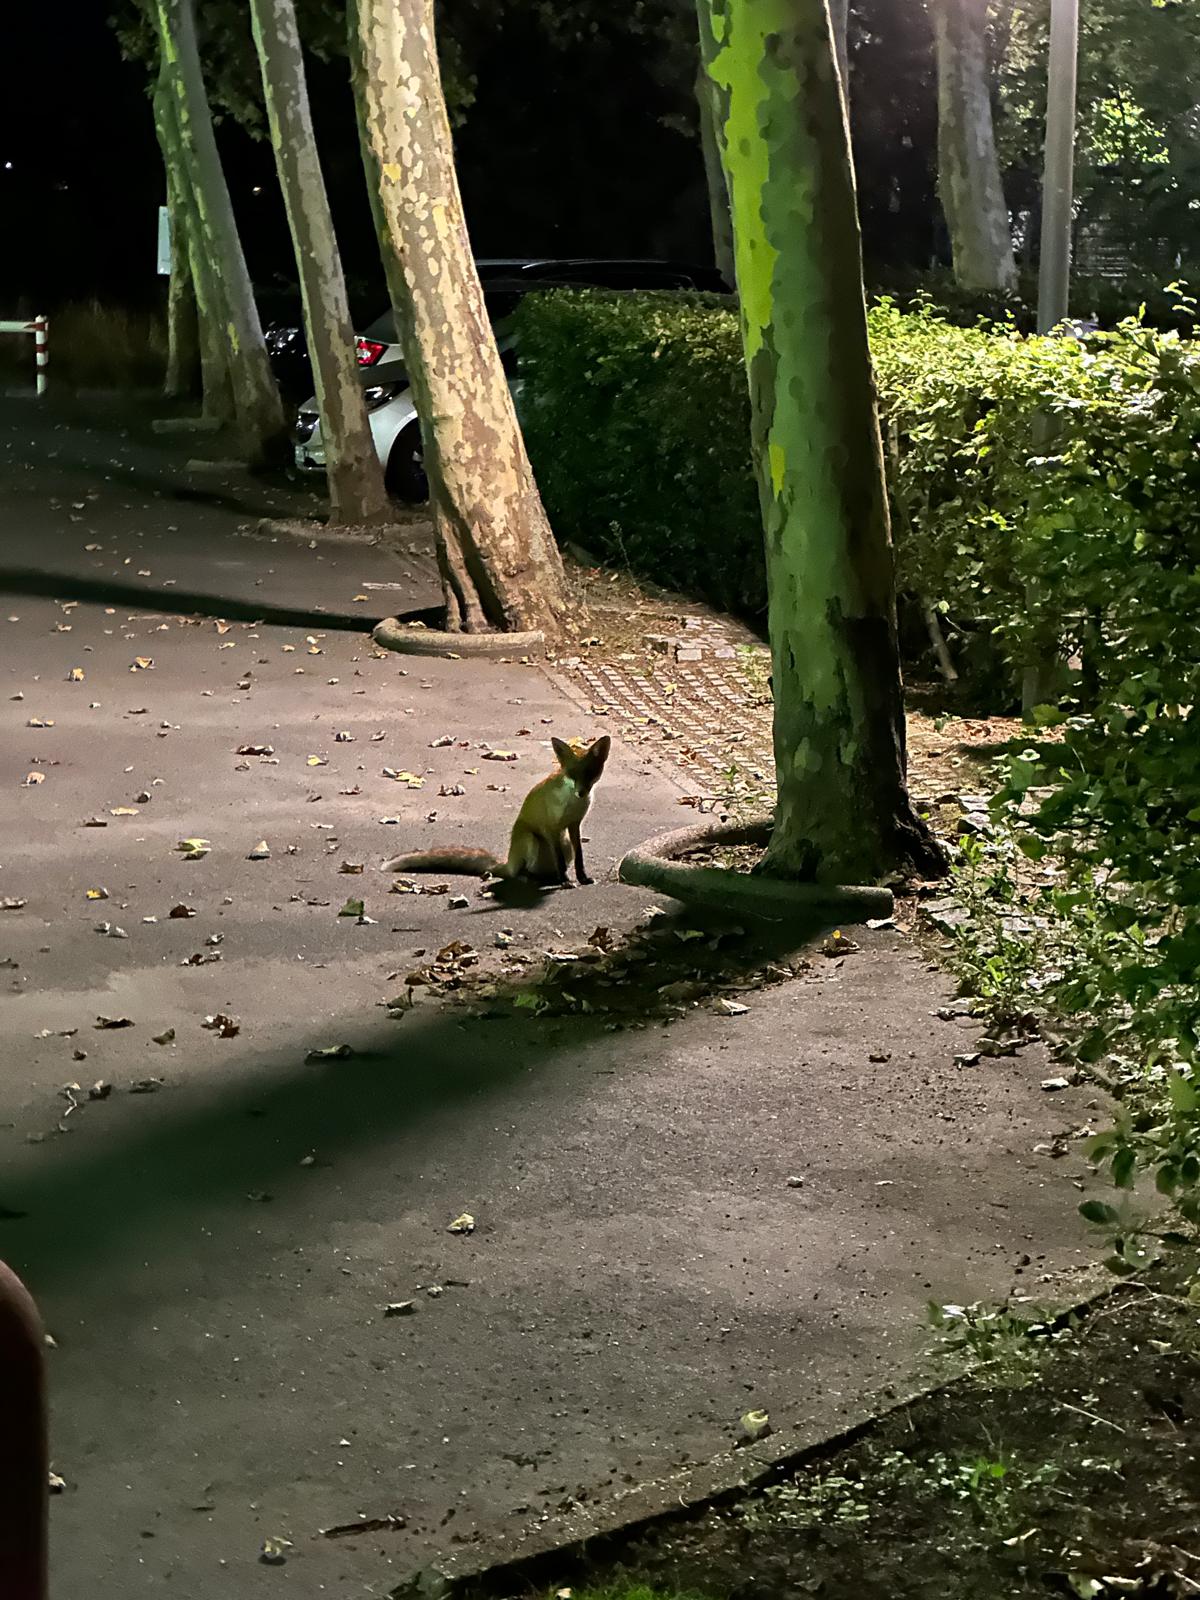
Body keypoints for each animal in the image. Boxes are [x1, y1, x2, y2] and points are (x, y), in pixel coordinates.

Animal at [383, 735, 611, 888]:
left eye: (590, 773)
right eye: (572, 773)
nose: (581, 793)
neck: (572, 803)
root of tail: (508, 861)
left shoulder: (574, 825)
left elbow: (580, 858)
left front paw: (582, 878)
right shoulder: (551, 827)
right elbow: (560, 862)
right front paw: (565, 881)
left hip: (565, 844)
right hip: (530, 838)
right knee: (518, 872)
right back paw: (529, 877)